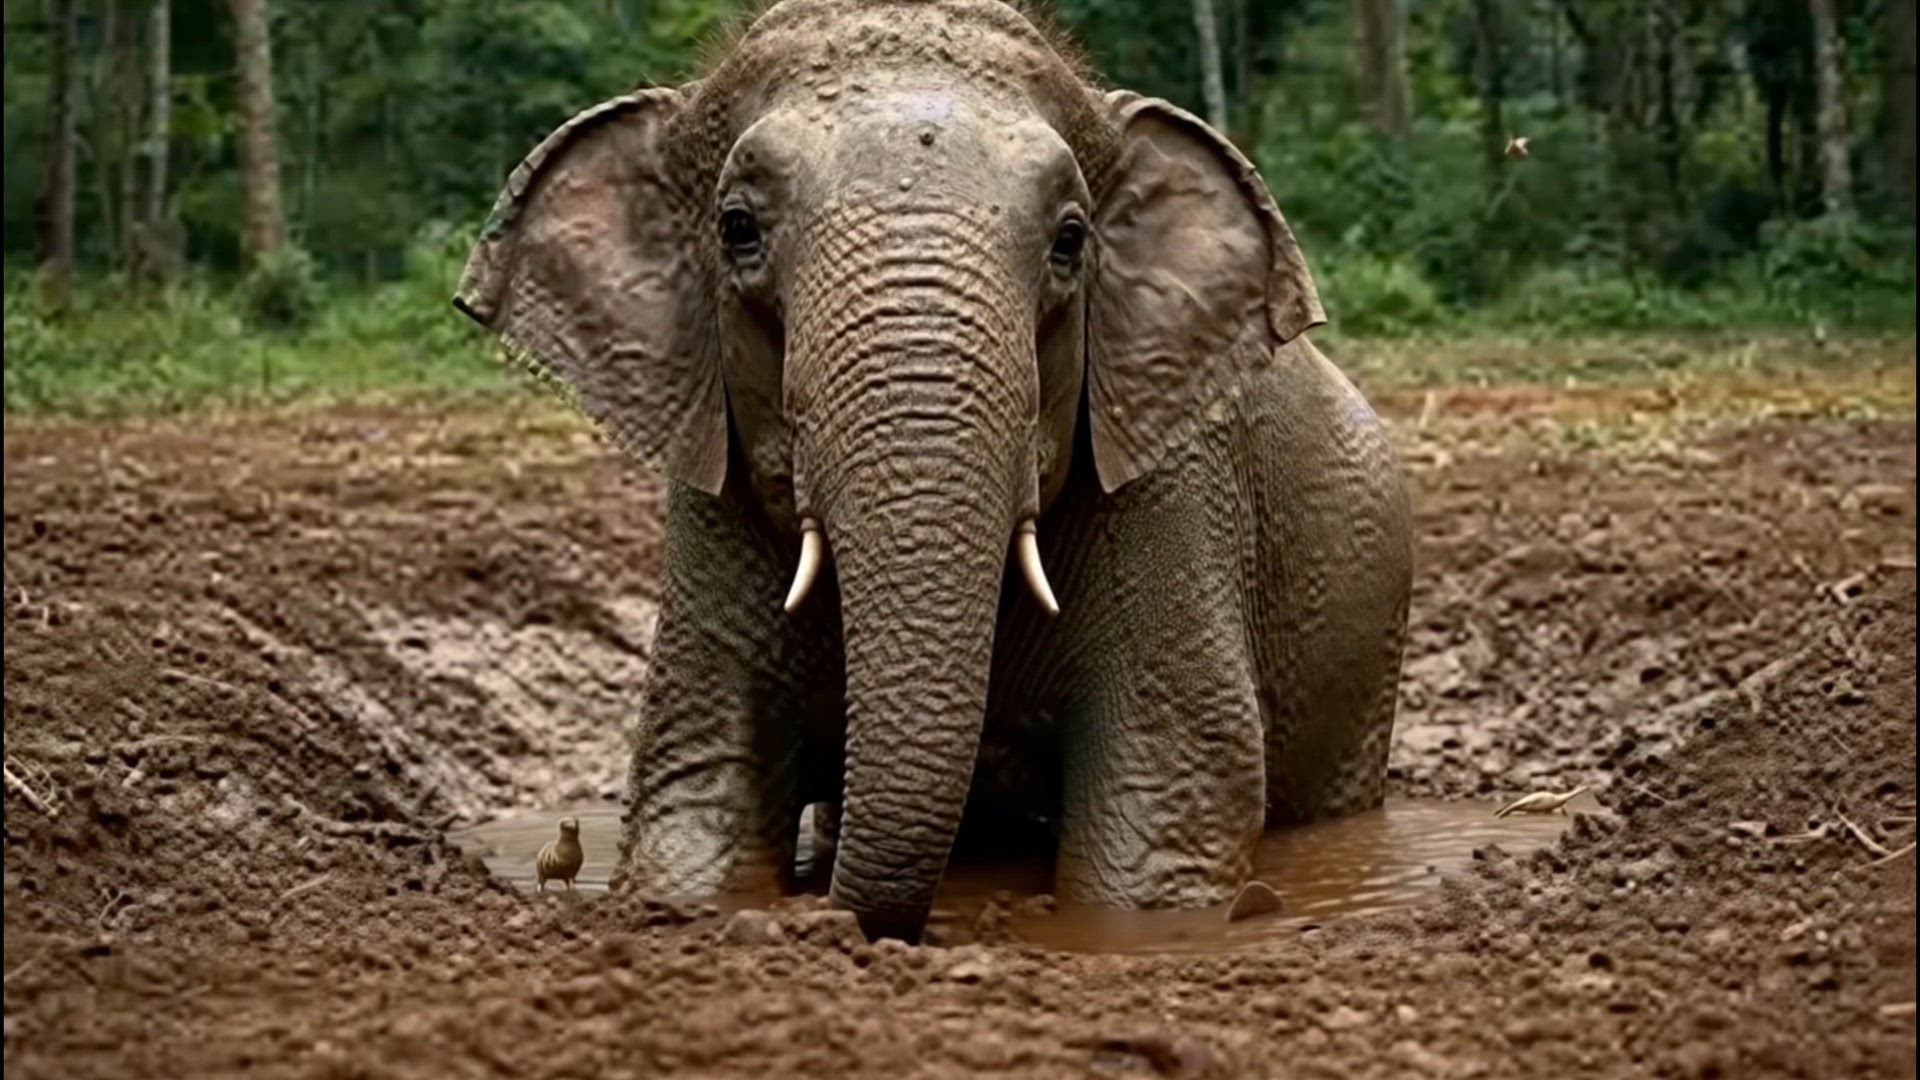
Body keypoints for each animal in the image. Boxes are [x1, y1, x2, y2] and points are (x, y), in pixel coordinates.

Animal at [452, 0, 1412, 943]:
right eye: (738, 229)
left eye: (1071, 240)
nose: (826, 915)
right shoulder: (708, 509)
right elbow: (696, 782)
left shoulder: (1175, 491)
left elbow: (1172, 784)